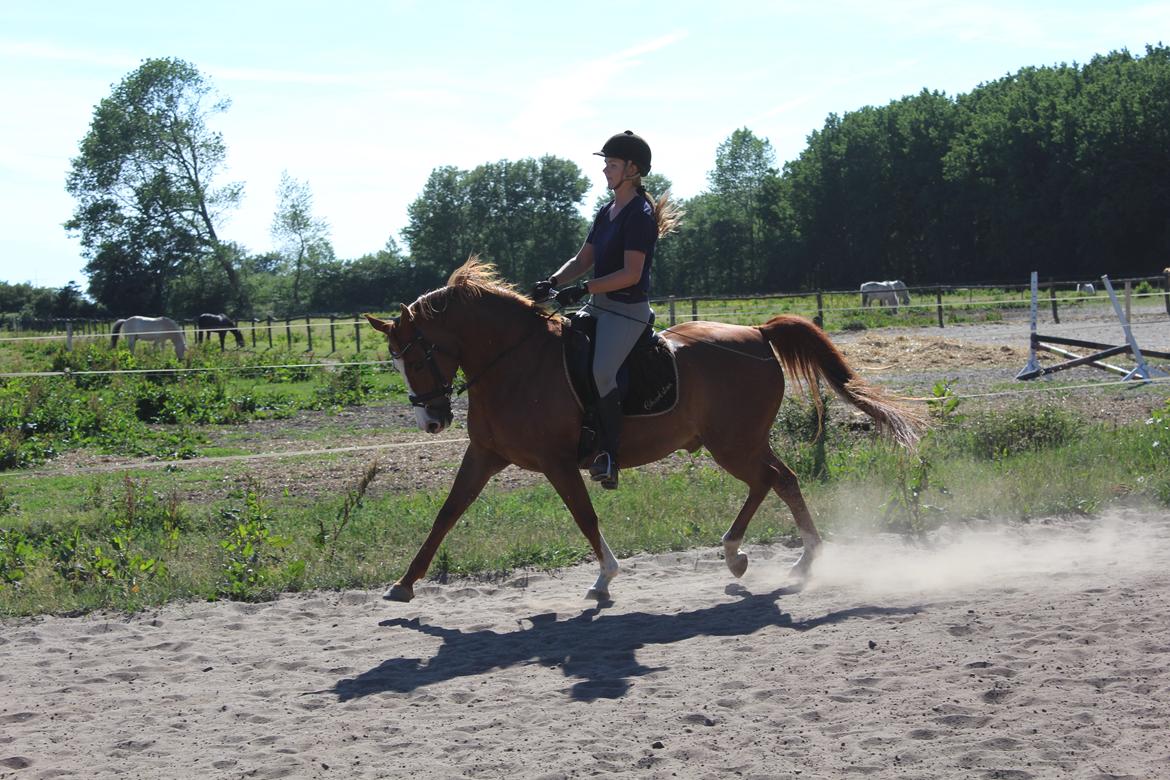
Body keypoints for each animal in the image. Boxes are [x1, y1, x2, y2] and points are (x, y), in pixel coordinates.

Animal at [365, 256, 921, 603]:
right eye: (395, 361)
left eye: (416, 357)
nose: (431, 420)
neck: (512, 362)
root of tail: (757, 333)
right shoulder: (484, 454)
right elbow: (447, 514)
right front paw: (404, 584)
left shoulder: (557, 462)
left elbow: (585, 516)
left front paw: (605, 579)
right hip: (736, 442)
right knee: (774, 480)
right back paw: (745, 557)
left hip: (733, 443)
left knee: (777, 480)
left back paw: (794, 561)